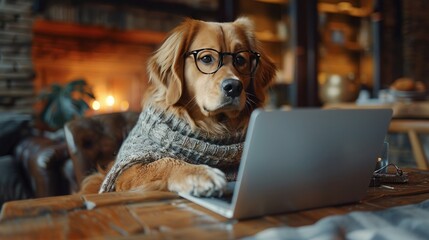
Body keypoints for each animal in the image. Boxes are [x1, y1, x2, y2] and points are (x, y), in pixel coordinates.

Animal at [80, 16, 274, 197]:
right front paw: (200, 173)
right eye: (206, 58)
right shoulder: (125, 171)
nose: (234, 87)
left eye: (240, 59)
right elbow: (164, 162)